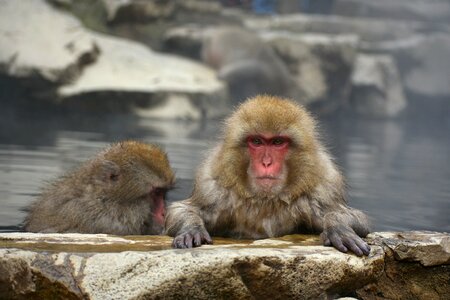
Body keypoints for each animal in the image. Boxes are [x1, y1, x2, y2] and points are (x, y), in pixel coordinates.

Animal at [165, 95, 370, 255]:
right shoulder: (212, 187)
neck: (266, 199)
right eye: (257, 141)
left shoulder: (323, 189)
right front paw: (192, 228)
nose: (266, 163)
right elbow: (182, 209)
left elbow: (356, 217)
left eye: (278, 142)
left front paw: (338, 227)